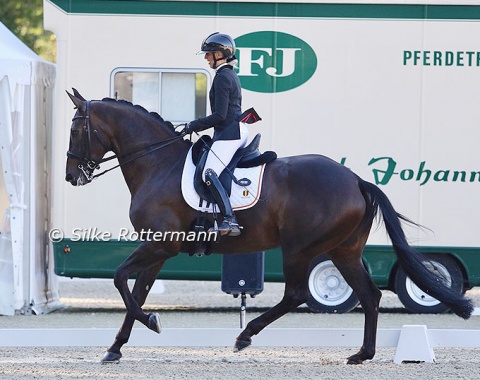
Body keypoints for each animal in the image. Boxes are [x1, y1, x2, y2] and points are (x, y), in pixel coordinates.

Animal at [63, 90, 472, 366]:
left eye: (76, 130)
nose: (71, 176)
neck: (157, 163)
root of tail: (356, 180)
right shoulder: (159, 248)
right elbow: (138, 291)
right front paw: (116, 347)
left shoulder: (161, 245)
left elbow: (120, 279)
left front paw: (150, 323)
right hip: (344, 251)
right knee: (369, 295)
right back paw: (362, 354)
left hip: (300, 249)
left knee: (297, 294)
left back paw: (245, 336)